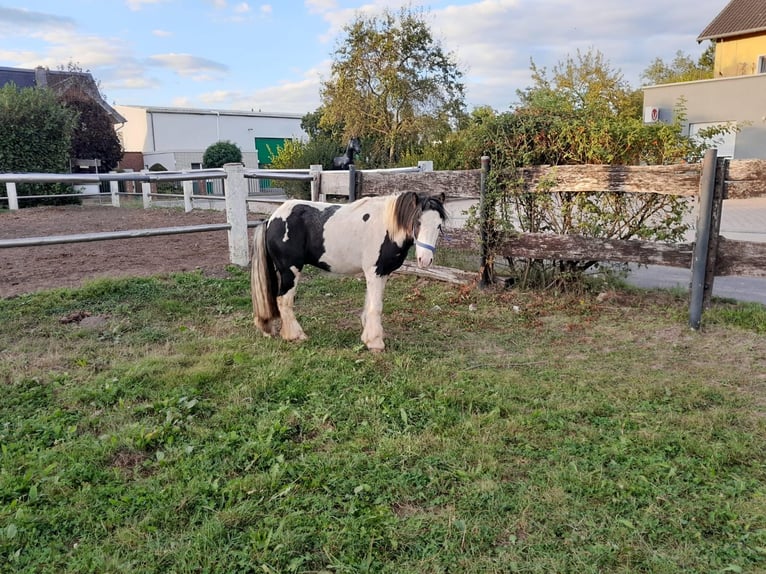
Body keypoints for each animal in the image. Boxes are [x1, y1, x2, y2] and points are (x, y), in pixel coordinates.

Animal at [252, 192, 448, 352]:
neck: (386, 227)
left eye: (439, 225)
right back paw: (296, 335)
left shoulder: (381, 273)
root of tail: (271, 220)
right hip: (290, 271)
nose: (425, 260)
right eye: (417, 222)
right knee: (283, 300)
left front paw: (368, 337)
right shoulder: (374, 272)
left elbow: (370, 304)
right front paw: (375, 343)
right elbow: (376, 307)